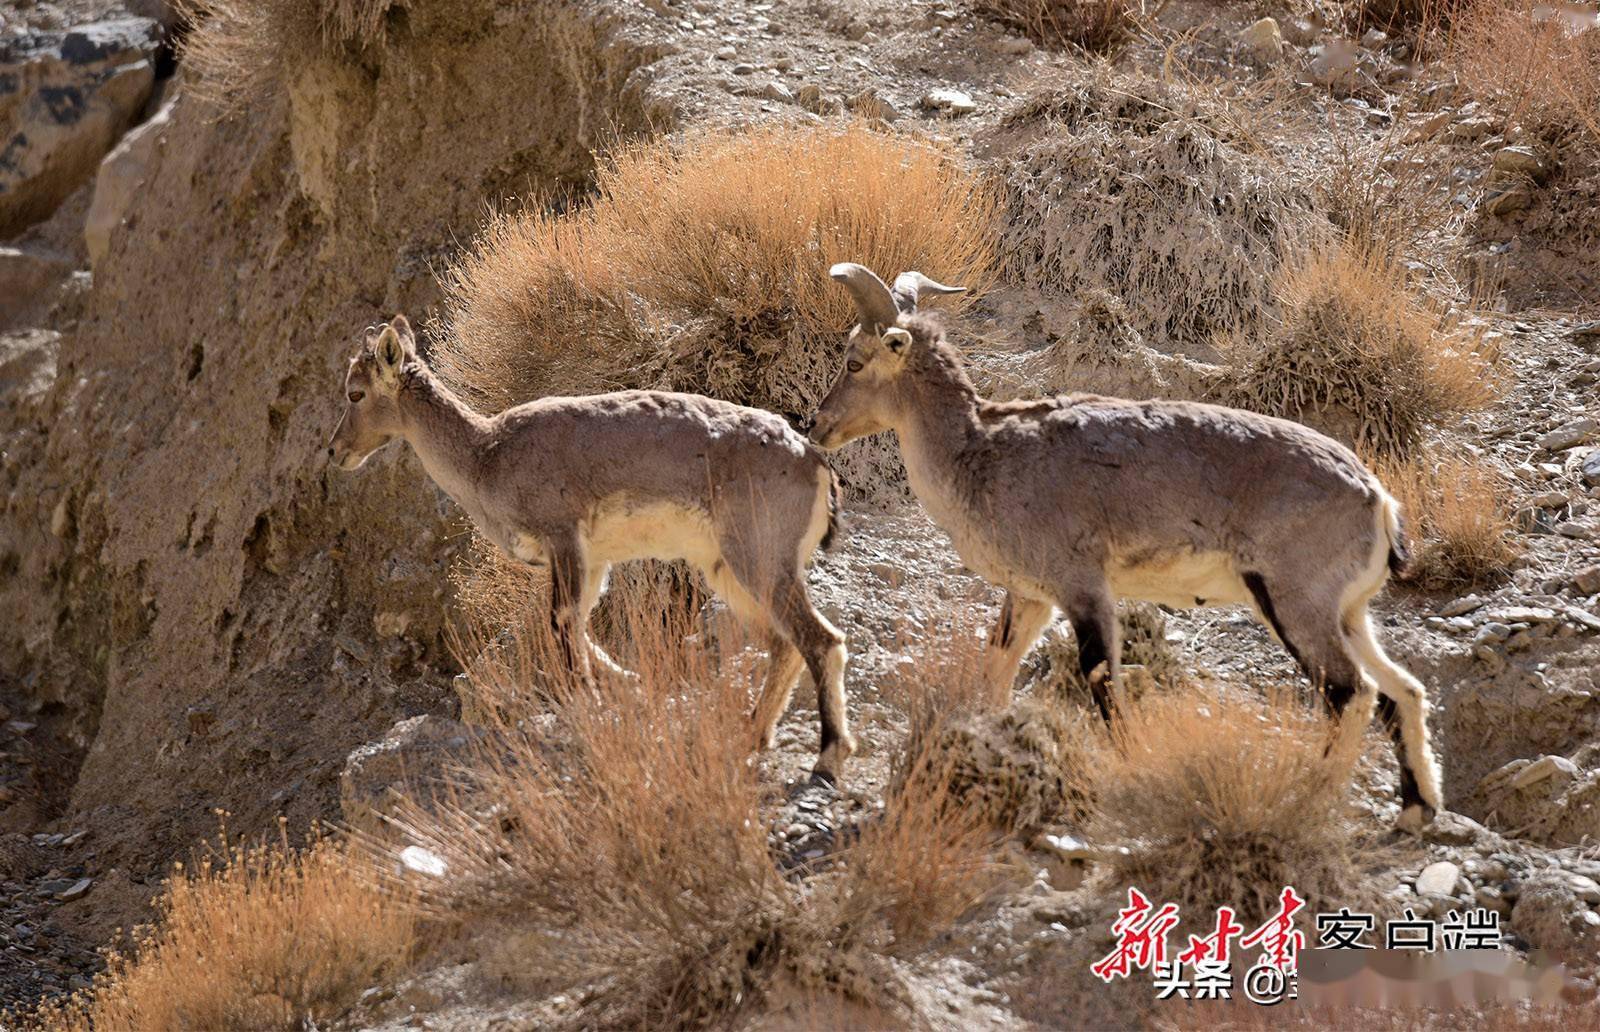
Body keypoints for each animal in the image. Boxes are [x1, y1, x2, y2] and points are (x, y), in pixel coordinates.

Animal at [321, 318, 851, 777]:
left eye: (355, 392)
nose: (334, 451)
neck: (485, 456)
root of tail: (814, 464)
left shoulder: (564, 539)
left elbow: (562, 622)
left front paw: (590, 703)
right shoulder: (593, 561)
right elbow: (575, 624)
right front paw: (626, 683)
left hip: (759, 559)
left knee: (821, 640)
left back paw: (827, 756)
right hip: (730, 571)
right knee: (784, 645)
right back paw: (751, 735)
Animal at [806, 262, 1446, 825]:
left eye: (854, 360)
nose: (816, 425)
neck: (983, 455)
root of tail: (1378, 500)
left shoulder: (1082, 585)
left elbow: (1099, 675)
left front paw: (1127, 763)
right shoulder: (1031, 596)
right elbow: (999, 665)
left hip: (1296, 602)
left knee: (1350, 692)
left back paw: (1315, 792)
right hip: (1347, 612)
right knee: (1403, 691)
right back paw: (1416, 809)